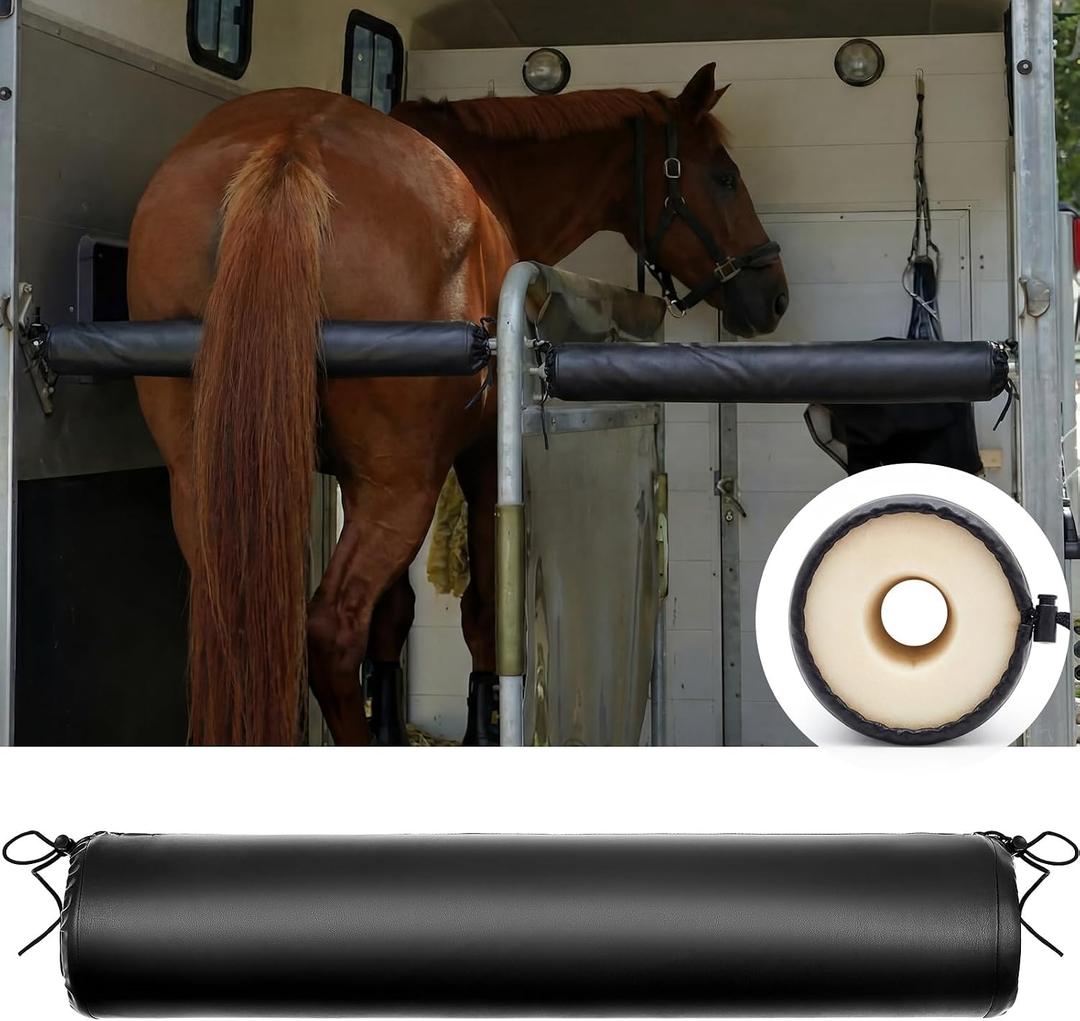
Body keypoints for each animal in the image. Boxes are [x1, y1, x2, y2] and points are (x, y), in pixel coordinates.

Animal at [127, 63, 788, 746]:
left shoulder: (356, 480)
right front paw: (481, 723)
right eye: (724, 176)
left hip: (206, 486)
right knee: (332, 629)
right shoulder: (478, 462)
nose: (774, 296)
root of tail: (291, 147)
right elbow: (482, 612)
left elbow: (394, 615)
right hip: (402, 489)